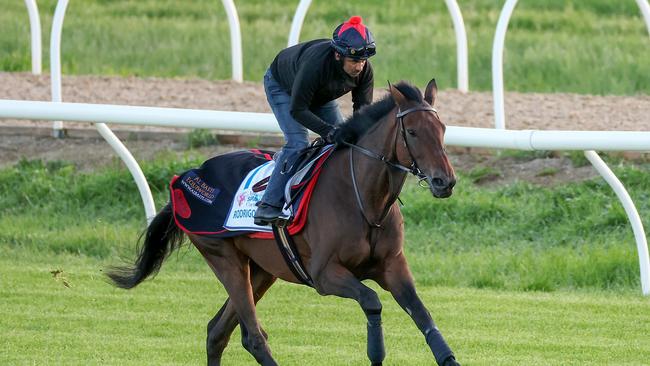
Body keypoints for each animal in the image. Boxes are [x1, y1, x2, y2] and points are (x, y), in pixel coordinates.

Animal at [107, 78, 456, 364]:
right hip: (225, 258)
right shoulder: (324, 275)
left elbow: (423, 315)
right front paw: (376, 351)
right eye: (412, 132)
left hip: (263, 270)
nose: (445, 181)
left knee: (217, 331)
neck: (365, 200)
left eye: (442, 130)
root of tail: (186, 177)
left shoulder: (393, 266)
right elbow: (371, 302)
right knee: (252, 337)